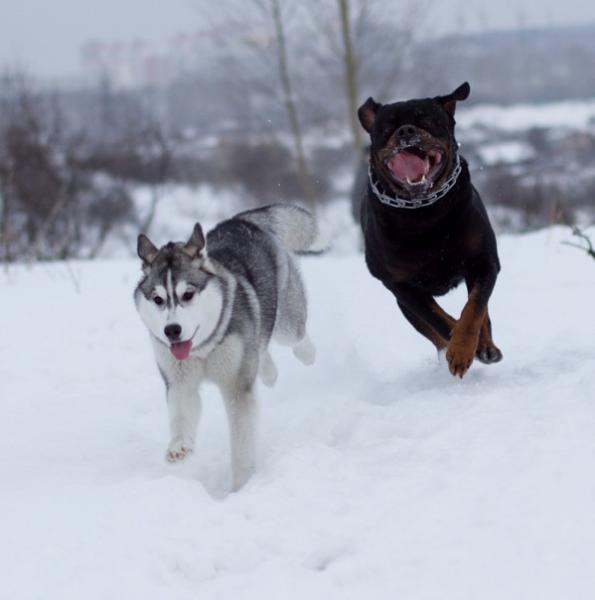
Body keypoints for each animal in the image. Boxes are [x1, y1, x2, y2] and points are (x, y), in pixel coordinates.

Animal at [134, 204, 316, 490]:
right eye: (158, 299)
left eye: (187, 294)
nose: (172, 331)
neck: (204, 348)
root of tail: (240, 220)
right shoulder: (180, 381)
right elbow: (182, 412)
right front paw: (179, 446)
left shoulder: (236, 386)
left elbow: (242, 442)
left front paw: (240, 486)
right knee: (261, 348)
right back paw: (269, 372)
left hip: (286, 322)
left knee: (295, 337)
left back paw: (307, 353)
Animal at [358, 82, 502, 378]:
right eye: (387, 126)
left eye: (425, 119)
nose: (405, 131)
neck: (423, 211)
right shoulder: (401, 286)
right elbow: (439, 320)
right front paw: (458, 349)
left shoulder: (484, 262)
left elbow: (474, 310)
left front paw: (465, 348)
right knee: (431, 329)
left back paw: (486, 347)